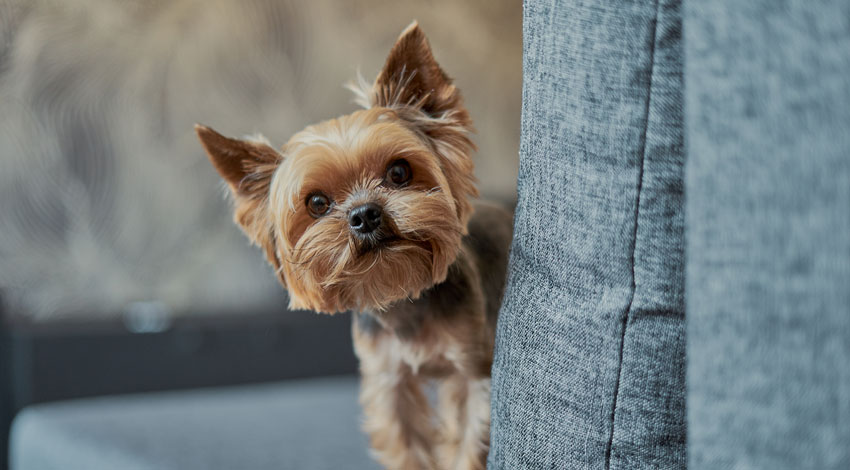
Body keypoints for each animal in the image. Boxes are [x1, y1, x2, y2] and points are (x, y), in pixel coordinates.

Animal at [194, 21, 510, 470]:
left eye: (399, 172)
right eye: (317, 203)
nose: (365, 215)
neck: (403, 300)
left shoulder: (473, 370)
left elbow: (470, 441)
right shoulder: (388, 383)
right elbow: (408, 446)